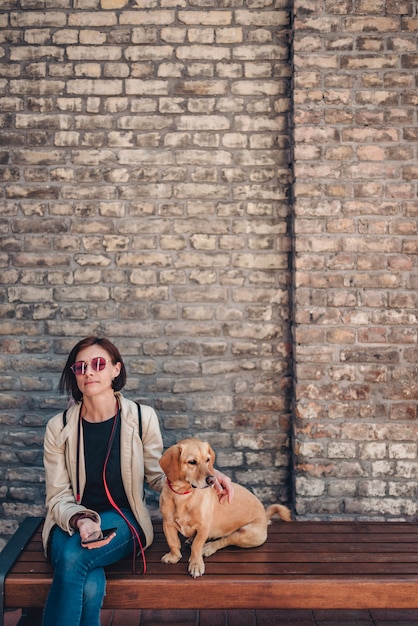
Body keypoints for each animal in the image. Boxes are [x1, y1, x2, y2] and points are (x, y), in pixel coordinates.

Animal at [158, 434, 292, 576]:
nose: (212, 480)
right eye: (192, 462)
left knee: (224, 540)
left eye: (207, 460)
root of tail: (264, 517)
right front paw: (174, 556)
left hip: (243, 534)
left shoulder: (204, 527)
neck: (183, 495)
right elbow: (173, 542)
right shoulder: (167, 523)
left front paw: (196, 564)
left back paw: (208, 547)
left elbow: (196, 546)